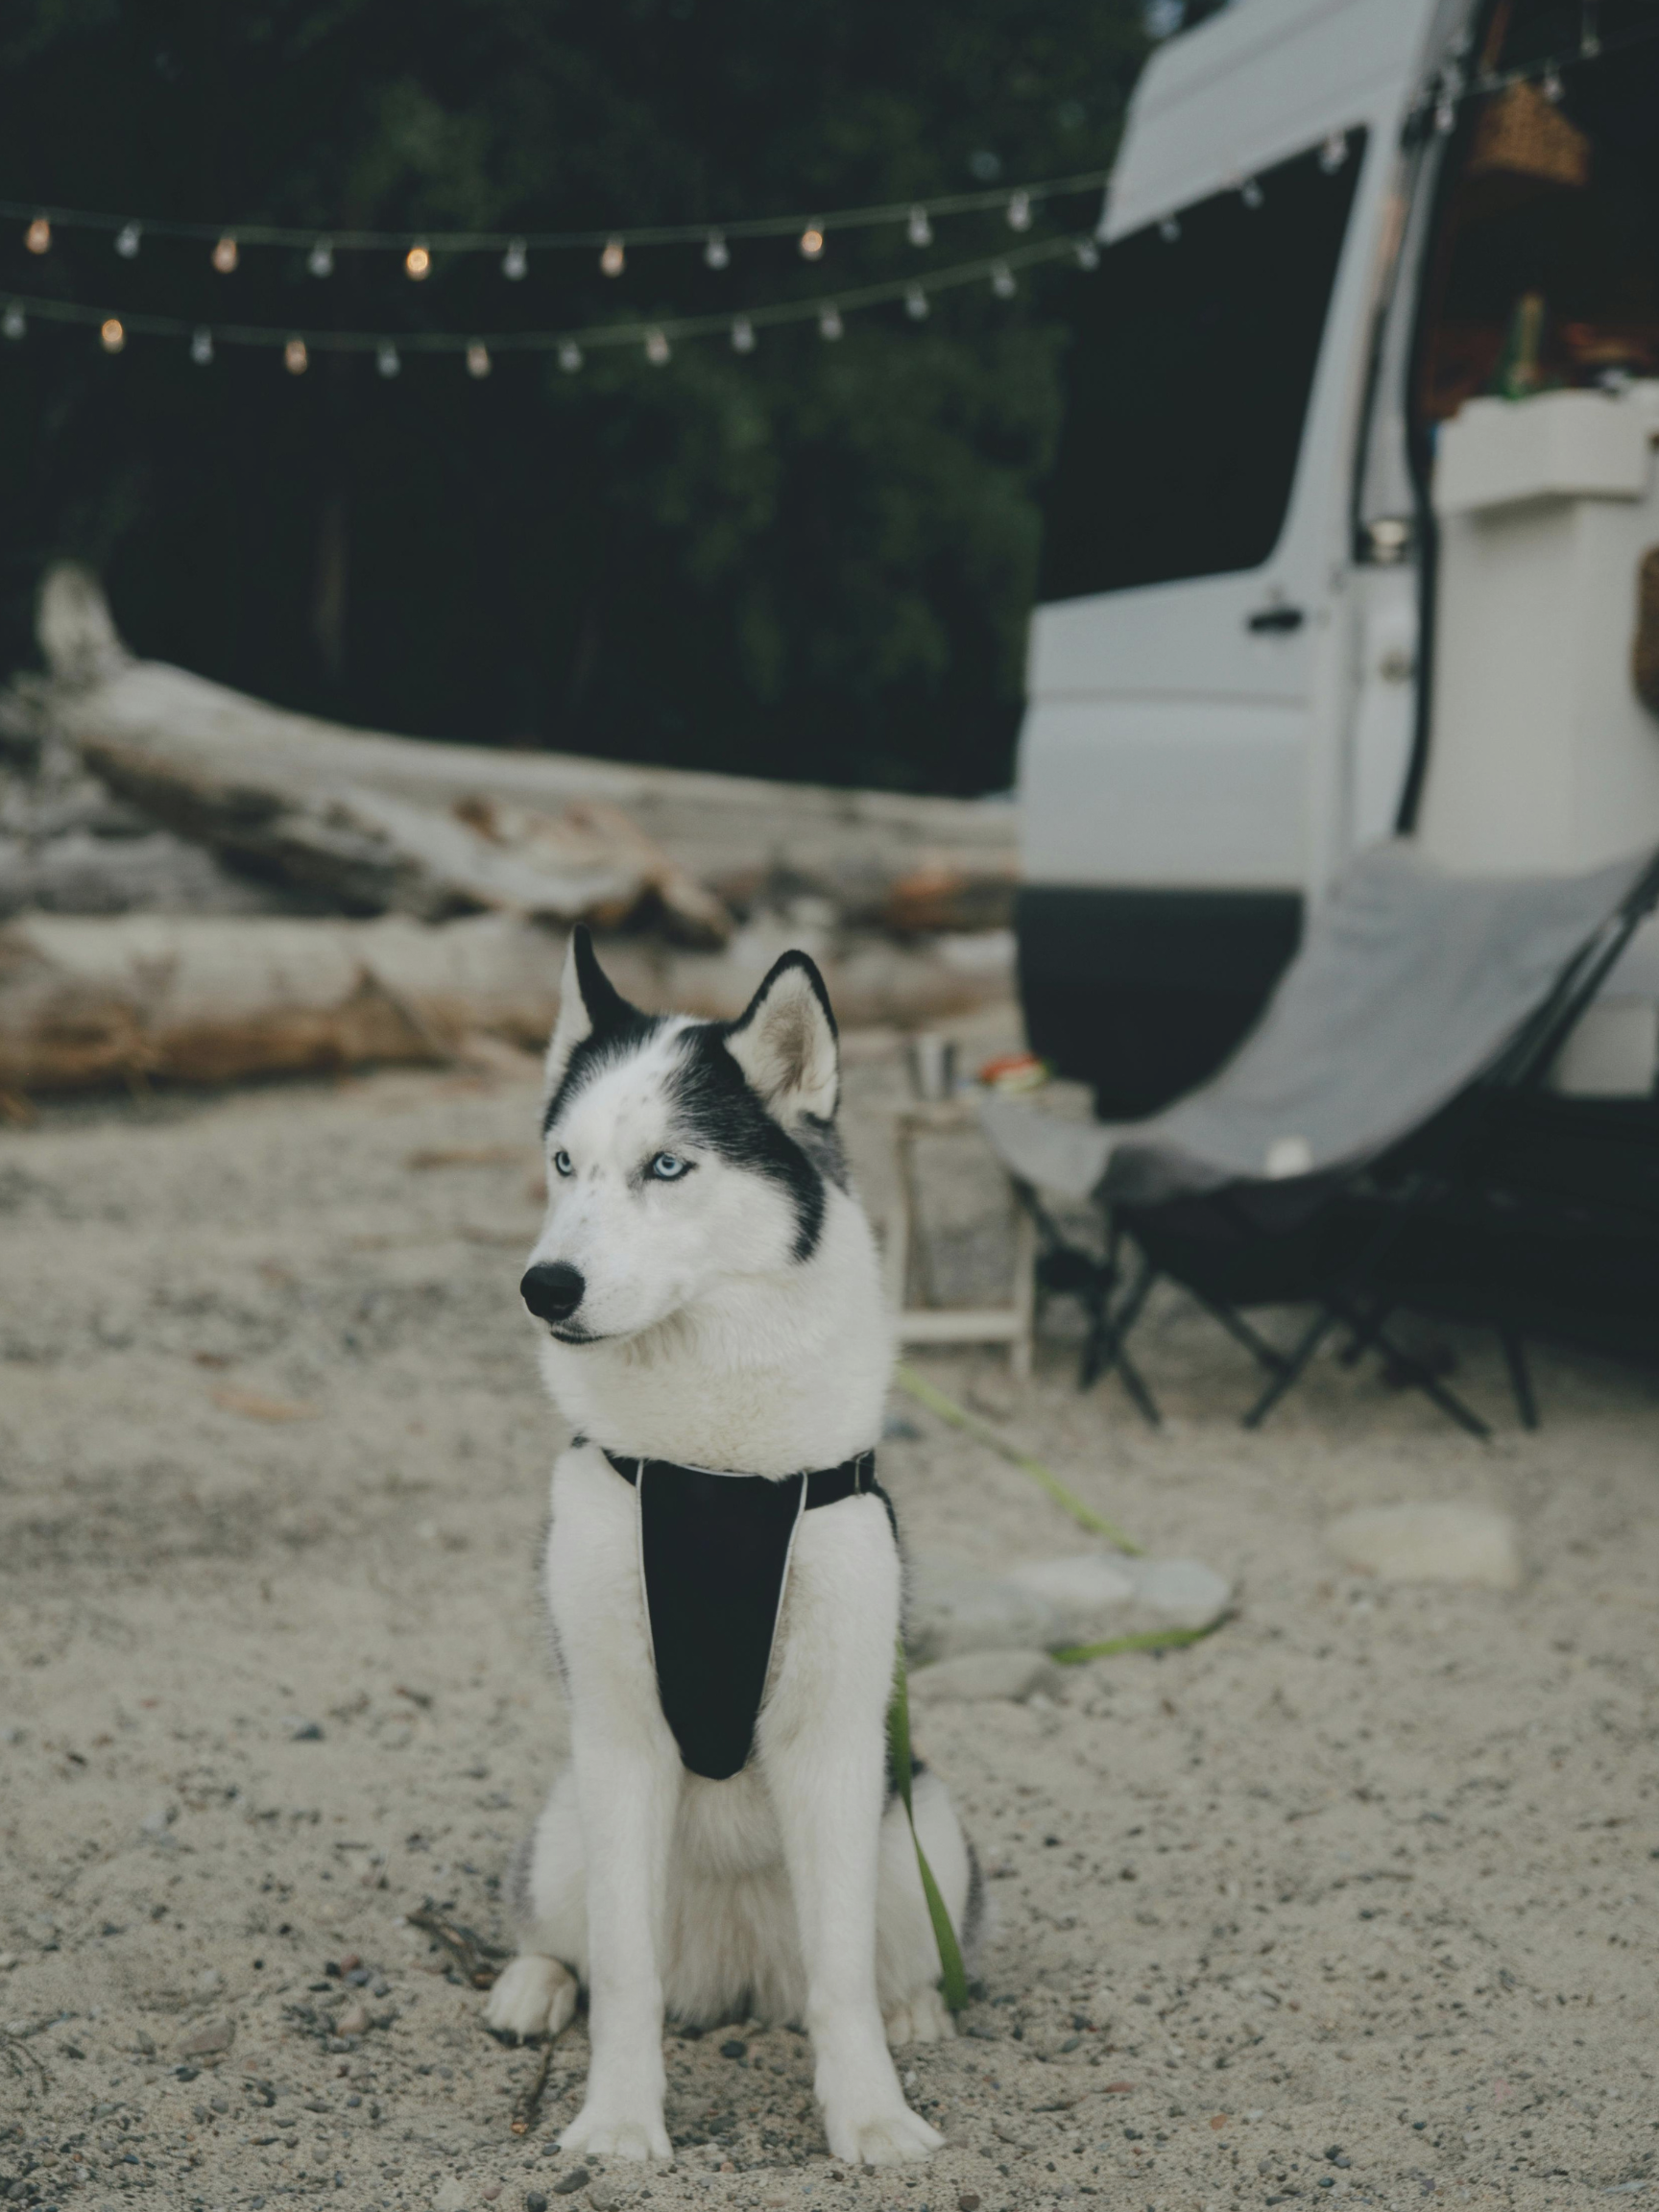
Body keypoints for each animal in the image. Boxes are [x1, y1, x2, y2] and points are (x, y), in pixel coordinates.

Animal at [479, 925, 981, 2167]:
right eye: (563, 1164)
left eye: (668, 1167)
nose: (542, 1285)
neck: (710, 1469)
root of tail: (742, 1972)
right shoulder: (619, 1738)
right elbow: (623, 1971)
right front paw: (616, 2122)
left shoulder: (838, 1741)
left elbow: (843, 1979)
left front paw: (872, 2116)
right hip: (566, 1819)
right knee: (572, 1943)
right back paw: (530, 1987)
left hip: (926, 1830)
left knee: (871, 1962)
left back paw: (919, 2006)